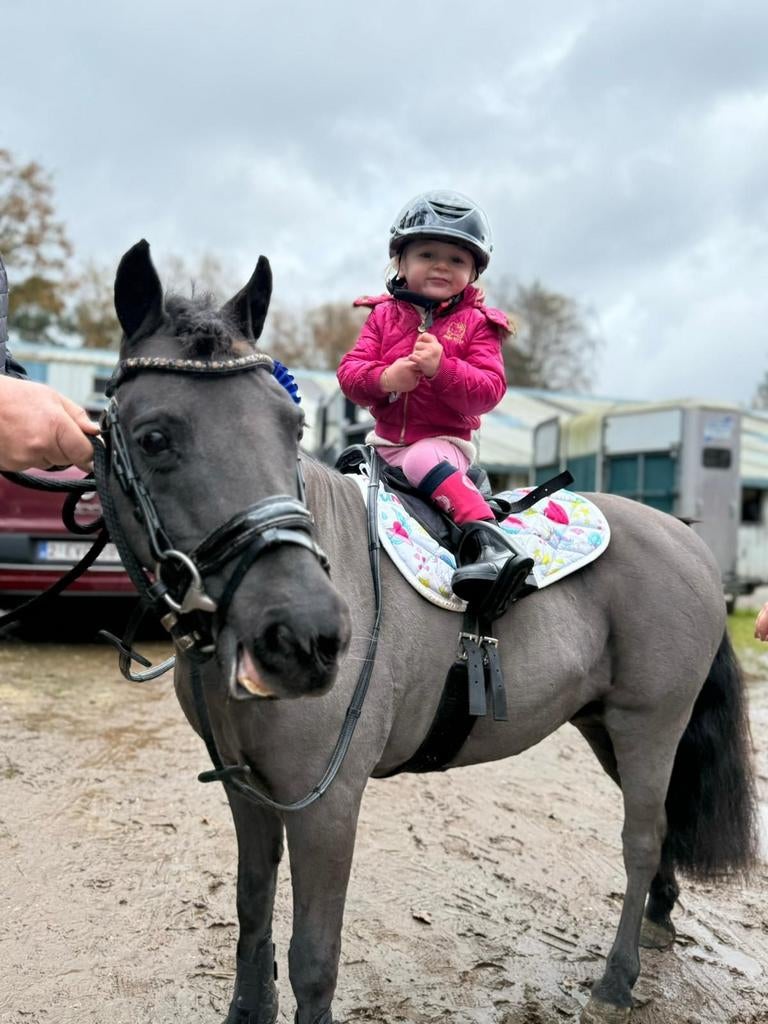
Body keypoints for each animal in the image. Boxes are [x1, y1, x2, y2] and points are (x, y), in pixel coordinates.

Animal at [101, 240, 758, 1024]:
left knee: (643, 837)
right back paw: (659, 920)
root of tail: (687, 539)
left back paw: (616, 978)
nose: (309, 637)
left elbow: (313, 959)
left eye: (290, 429)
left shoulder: (325, 802)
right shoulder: (248, 791)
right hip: (606, 724)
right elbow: (252, 912)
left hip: (649, 722)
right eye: (154, 437)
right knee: (659, 831)